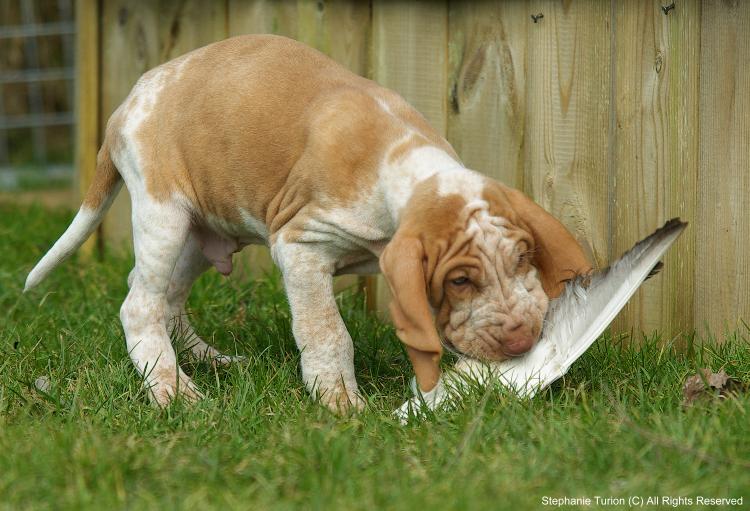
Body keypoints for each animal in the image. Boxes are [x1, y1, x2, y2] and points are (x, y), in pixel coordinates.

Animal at [25, 35, 592, 412]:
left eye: (523, 258)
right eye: (459, 281)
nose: (523, 342)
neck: (405, 166)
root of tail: (123, 108)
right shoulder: (300, 247)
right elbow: (326, 331)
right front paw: (339, 400)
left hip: (202, 233)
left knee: (164, 297)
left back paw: (207, 360)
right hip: (164, 213)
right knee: (139, 305)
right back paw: (172, 388)